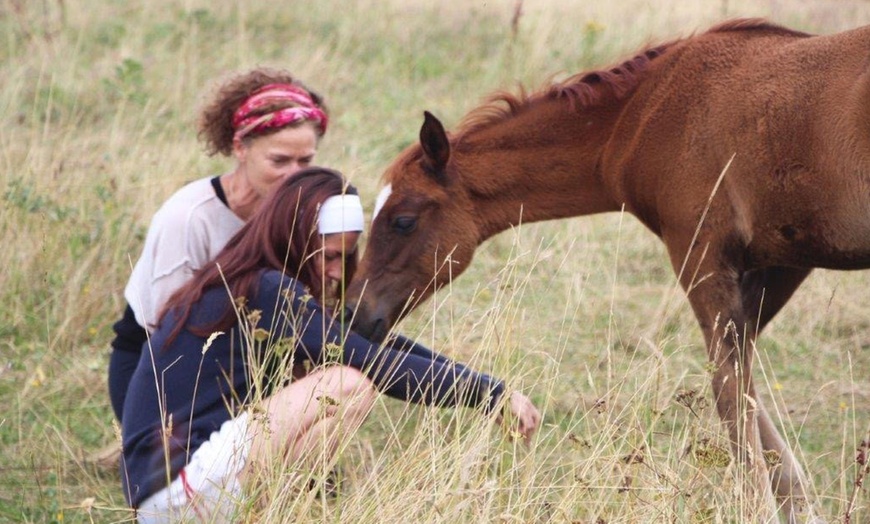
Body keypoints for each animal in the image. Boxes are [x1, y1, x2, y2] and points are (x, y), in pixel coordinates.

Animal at [348, 18, 870, 520]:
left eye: (402, 220)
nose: (355, 310)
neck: (642, 116)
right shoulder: (780, 263)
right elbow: (745, 387)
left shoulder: (700, 252)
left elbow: (728, 390)